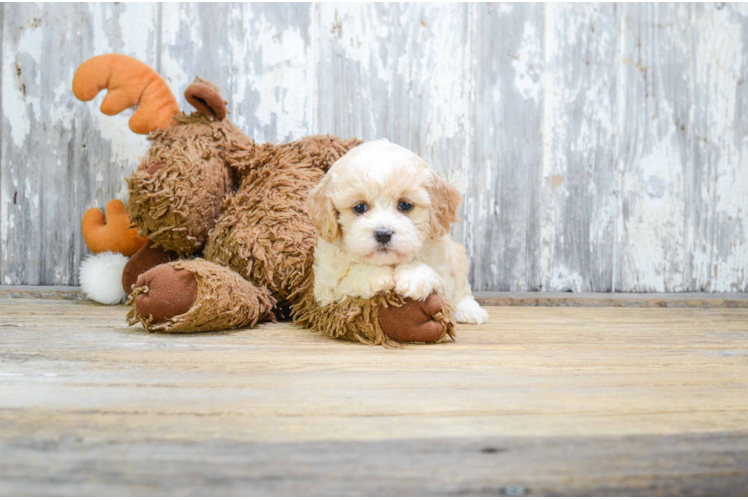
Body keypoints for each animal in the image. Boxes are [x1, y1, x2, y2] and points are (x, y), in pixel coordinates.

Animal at [306, 139, 488, 324]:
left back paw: (470, 310)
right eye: (359, 207)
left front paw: (414, 276)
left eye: (405, 205)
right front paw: (375, 277)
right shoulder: (325, 289)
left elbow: (438, 278)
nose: (383, 234)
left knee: (462, 288)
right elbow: (347, 278)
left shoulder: (444, 267)